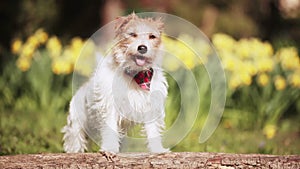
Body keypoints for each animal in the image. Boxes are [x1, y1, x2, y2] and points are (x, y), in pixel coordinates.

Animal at [61, 12, 169, 153]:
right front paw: (110, 149)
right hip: (77, 124)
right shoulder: (110, 106)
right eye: (132, 34)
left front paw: (157, 149)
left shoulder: (151, 106)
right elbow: (110, 128)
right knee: (75, 139)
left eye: (152, 36)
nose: (142, 48)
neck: (135, 75)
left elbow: (153, 130)